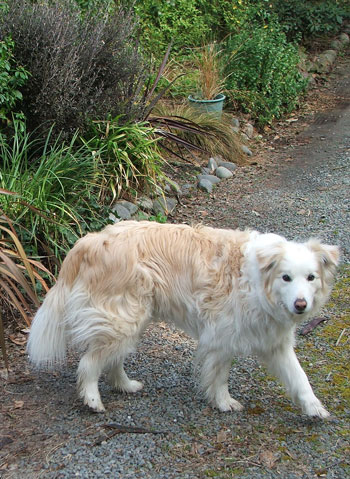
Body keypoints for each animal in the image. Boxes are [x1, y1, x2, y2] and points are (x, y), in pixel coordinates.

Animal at [27, 221, 340, 416]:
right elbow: (220, 376)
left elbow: (299, 377)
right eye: (286, 277)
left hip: (131, 321)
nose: (301, 305)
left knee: (111, 358)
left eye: (311, 278)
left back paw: (125, 385)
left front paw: (314, 407)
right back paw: (92, 399)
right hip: (123, 320)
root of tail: (91, 239)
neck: (258, 281)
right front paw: (223, 403)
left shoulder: (276, 343)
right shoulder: (222, 337)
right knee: (89, 362)